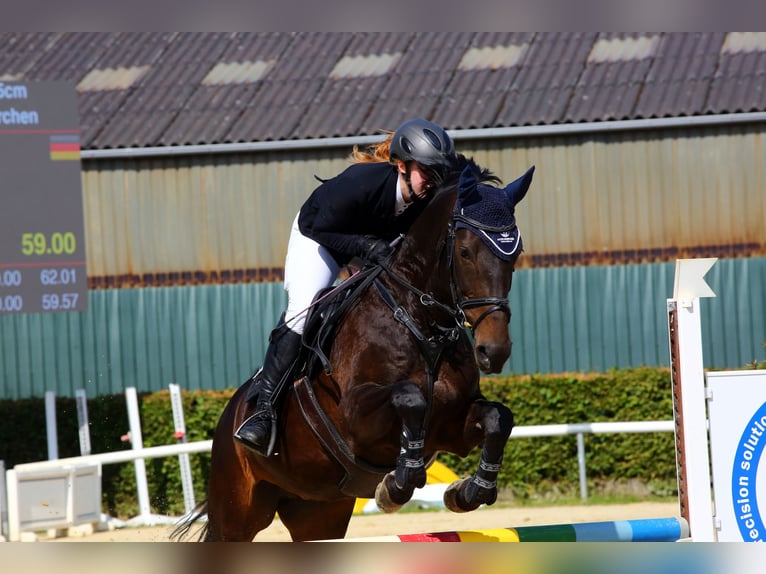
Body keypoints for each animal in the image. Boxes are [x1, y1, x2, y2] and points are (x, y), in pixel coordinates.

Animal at [172, 155, 536, 544]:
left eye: (515, 253)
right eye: (465, 252)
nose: (494, 351)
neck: (420, 320)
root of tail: (230, 416)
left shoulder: (451, 423)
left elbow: (498, 418)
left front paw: (467, 491)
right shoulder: (357, 419)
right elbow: (410, 398)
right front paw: (395, 486)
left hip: (317, 511)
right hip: (235, 513)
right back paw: (258, 426)